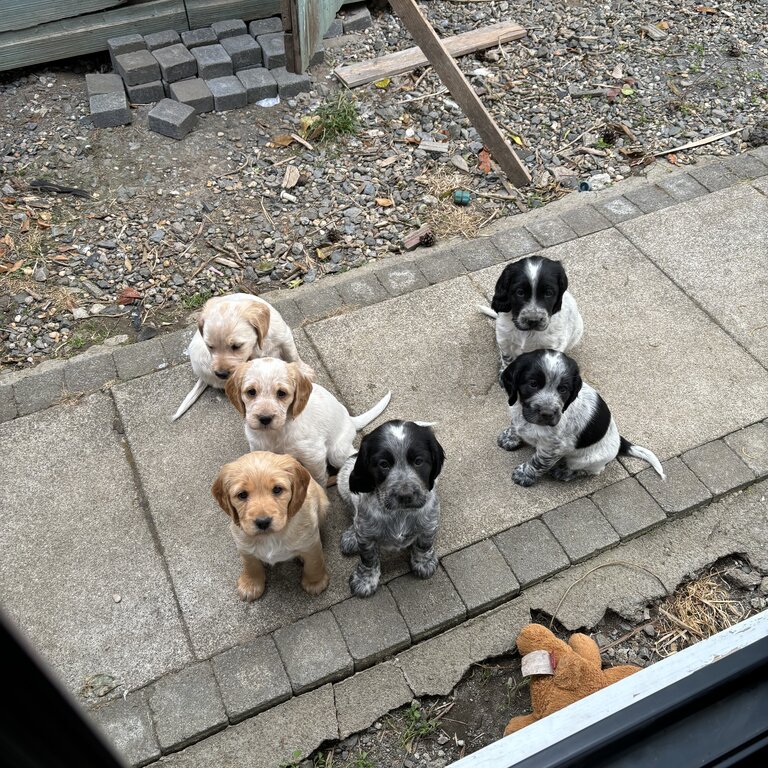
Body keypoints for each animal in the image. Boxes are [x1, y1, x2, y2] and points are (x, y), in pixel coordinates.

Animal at [172, 292, 304, 420]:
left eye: (236, 346)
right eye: (210, 346)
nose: (221, 374)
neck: (258, 345)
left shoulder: (284, 337)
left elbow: (293, 356)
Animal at [212, 450, 328, 600]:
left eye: (277, 489)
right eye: (242, 495)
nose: (263, 522)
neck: (271, 536)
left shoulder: (310, 542)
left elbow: (314, 562)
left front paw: (315, 582)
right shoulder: (243, 545)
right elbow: (250, 565)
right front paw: (250, 585)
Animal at [222, 358, 390, 486]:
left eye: (281, 393)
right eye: (251, 392)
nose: (265, 418)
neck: (276, 433)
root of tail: (350, 419)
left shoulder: (314, 454)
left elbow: (318, 478)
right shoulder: (258, 447)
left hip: (336, 453)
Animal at [340, 424, 448, 596]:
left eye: (418, 461)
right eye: (383, 464)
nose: (405, 495)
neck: (399, 513)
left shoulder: (430, 523)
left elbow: (424, 545)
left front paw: (424, 563)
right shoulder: (365, 536)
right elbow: (368, 559)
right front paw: (365, 580)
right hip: (343, 481)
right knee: (354, 511)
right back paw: (351, 535)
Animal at [498, 350, 664, 486]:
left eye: (563, 389)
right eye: (533, 384)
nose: (548, 413)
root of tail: (618, 440)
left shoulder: (553, 447)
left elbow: (538, 462)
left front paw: (524, 475)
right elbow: (515, 426)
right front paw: (509, 438)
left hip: (587, 460)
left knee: (591, 470)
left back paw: (564, 471)